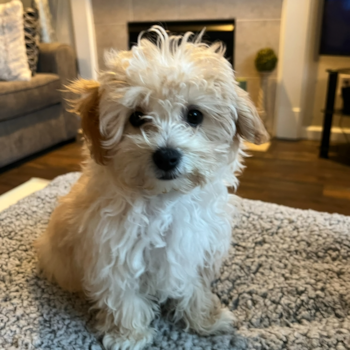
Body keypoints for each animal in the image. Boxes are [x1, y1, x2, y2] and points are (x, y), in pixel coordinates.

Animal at [34, 26, 268, 348]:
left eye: (194, 115)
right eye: (136, 117)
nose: (166, 155)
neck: (164, 200)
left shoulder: (194, 251)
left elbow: (195, 289)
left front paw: (206, 321)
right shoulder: (112, 254)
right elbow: (124, 300)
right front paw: (128, 336)